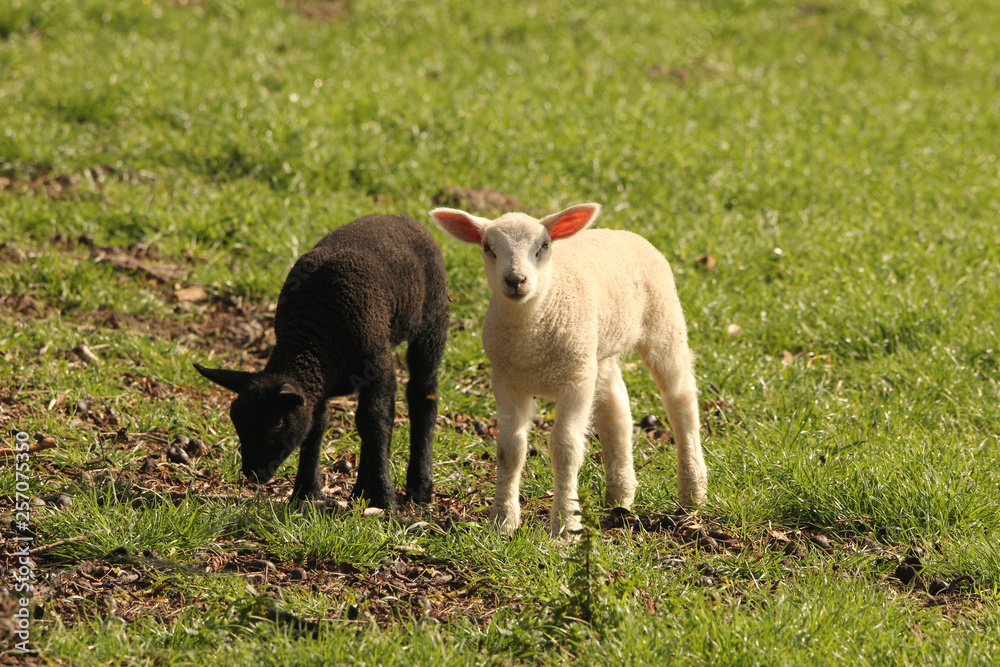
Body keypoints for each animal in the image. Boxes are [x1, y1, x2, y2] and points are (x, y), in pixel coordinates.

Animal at [192, 215, 450, 512]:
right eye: (236, 422)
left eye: (277, 425)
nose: (253, 473)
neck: (311, 340)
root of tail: (403, 217)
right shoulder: (321, 383)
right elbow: (317, 426)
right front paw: (305, 493)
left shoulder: (378, 364)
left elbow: (375, 421)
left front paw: (383, 499)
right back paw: (360, 491)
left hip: (433, 319)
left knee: (422, 394)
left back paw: (419, 487)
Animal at [432, 204, 712, 536]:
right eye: (488, 248)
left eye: (543, 245)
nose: (515, 280)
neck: (531, 334)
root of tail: (622, 233)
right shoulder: (506, 380)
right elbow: (510, 447)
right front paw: (503, 521)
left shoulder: (575, 381)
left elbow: (565, 447)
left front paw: (565, 525)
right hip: (596, 349)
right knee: (616, 406)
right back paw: (620, 493)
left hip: (663, 322)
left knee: (680, 400)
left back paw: (693, 491)